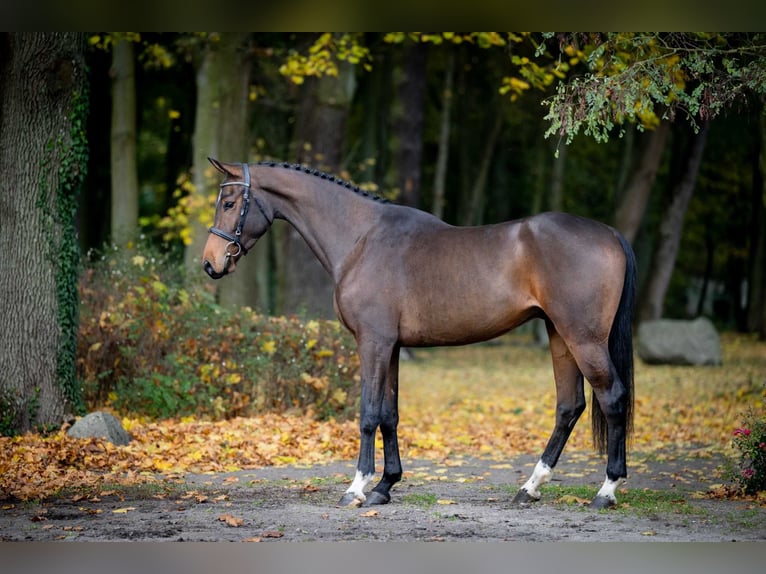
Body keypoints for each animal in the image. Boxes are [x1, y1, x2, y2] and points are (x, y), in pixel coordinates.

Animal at [202, 158, 637, 509]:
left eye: (229, 203)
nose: (210, 264)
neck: (362, 239)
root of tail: (611, 233)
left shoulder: (373, 343)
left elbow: (368, 413)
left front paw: (356, 488)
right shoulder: (391, 347)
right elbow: (389, 415)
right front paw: (384, 486)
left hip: (583, 339)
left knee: (612, 397)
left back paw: (606, 490)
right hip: (559, 336)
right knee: (569, 406)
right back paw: (530, 488)